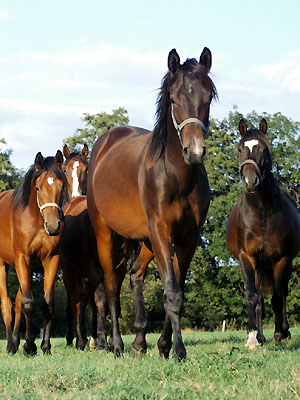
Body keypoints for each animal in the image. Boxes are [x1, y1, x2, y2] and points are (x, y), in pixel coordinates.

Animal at [0, 152, 68, 354]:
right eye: (37, 187)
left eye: (62, 185)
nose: (53, 226)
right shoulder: (22, 259)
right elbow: (29, 304)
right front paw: (30, 345)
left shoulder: (51, 260)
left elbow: (47, 303)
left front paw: (45, 346)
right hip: (3, 264)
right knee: (6, 304)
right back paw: (10, 344)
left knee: (17, 304)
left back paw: (16, 342)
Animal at [88, 47, 217, 360]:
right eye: (173, 98)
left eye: (208, 97)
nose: (195, 151)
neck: (175, 174)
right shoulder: (161, 230)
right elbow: (171, 291)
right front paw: (178, 350)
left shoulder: (188, 237)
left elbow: (178, 288)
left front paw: (164, 345)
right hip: (107, 235)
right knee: (111, 288)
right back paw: (117, 345)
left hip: (145, 239)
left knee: (135, 275)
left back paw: (139, 341)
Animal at [225, 118, 300, 346]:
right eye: (240, 148)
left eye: (264, 149)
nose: (251, 181)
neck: (261, 215)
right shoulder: (247, 258)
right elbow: (253, 296)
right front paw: (252, 337)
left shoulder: (282, 259)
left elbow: (277, 297)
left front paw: (279, 334)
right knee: (260, 297)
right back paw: (260, 335)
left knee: (281, 295)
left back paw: (283, 332)